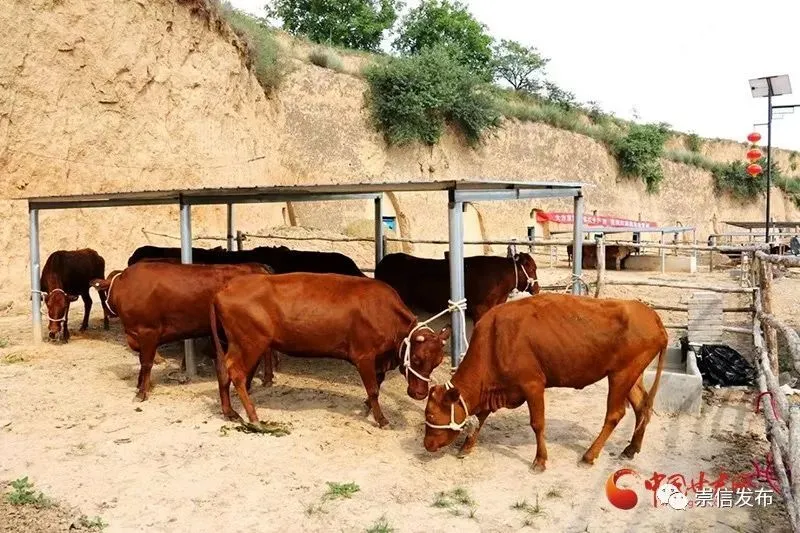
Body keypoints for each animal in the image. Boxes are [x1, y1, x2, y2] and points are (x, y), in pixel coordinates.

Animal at [91, 260, 268, 402]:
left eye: (104, 292)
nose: (106, 313)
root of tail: (256, 266)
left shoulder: (148, 332)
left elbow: (146, 363)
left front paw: (142, 393)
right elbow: (142, 361)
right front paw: (139, 384)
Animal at [209, 272, 450, 426]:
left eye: (437, 362)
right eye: (416, 359)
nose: (420, 394)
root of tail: (226, 287)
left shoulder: (379, 359)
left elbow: (378, 385)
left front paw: (367, 406)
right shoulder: (364, 356)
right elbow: (373, 388)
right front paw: (381, 419)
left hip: (235, 344)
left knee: (223, 370)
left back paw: (230, 411)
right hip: (250, 343)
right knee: (236, 373)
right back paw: (253, 417)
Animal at [422, 294, 664, 472]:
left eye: (431, 416)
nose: (427, 444)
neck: (495, 340)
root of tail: (652, 315)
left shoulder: (533, 385)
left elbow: (537, 424)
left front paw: (540, 460)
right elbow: (480, 418)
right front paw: (466, 446)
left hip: (621, 375)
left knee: (615, 414)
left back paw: (589, 455)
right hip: (631, 376)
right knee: (642, 407)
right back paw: (631, 448)